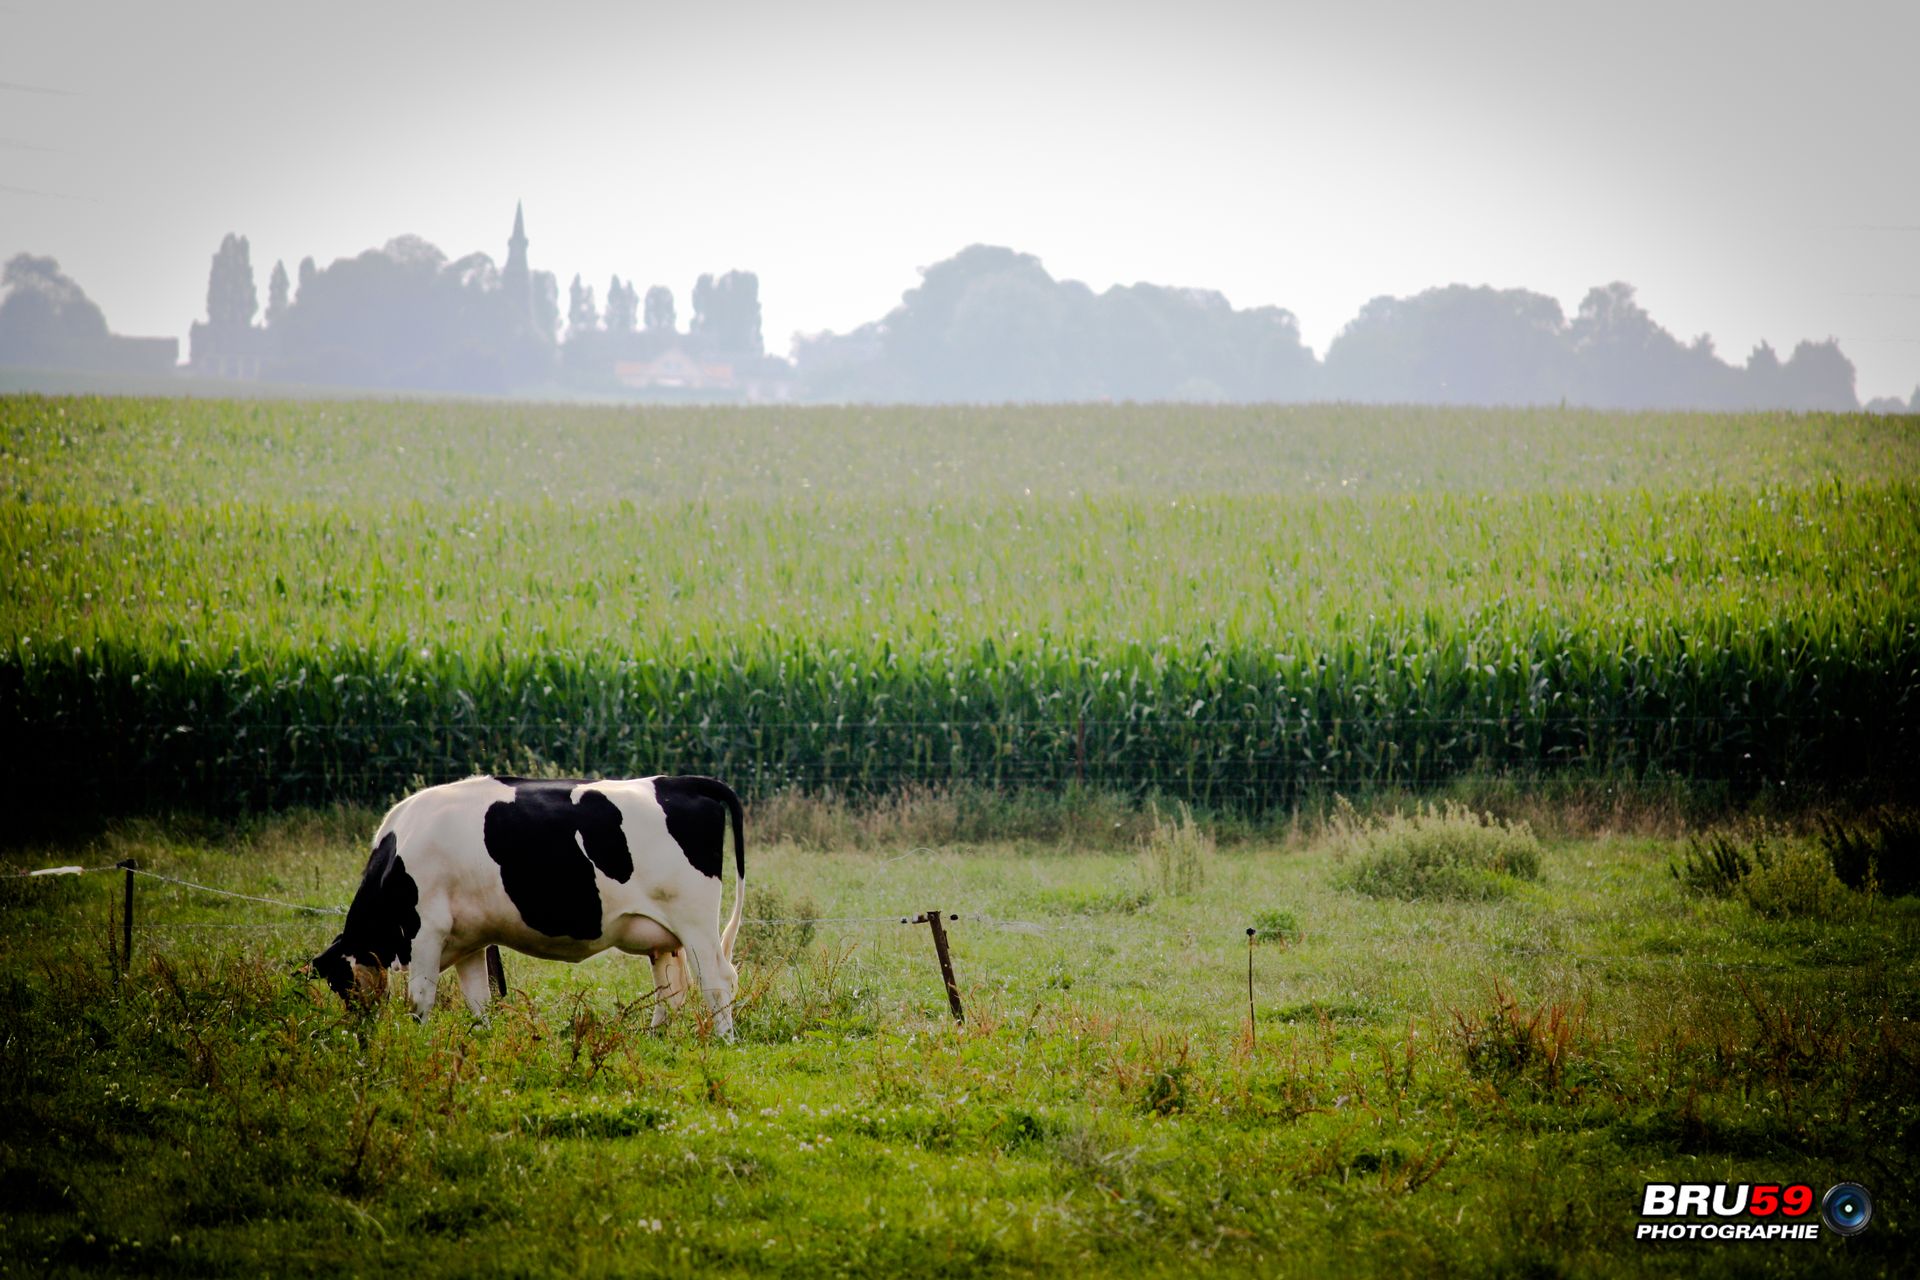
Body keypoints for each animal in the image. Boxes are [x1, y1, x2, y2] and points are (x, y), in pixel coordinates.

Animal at [314, 775, 741, 1036]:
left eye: (340, 982)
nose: (360, 1030)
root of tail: (677, 781)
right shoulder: (469, 939)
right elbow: (479, 1001)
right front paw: (482, 1041)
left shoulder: (426, 931)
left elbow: (420, 998)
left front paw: (416, 1041)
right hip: (664, 935)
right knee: (673, 988)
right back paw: (654, 1037)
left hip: (695, 921)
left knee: (716, 981)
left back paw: (724, 1040)